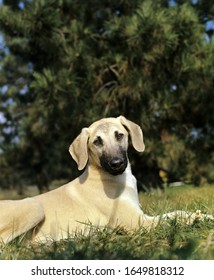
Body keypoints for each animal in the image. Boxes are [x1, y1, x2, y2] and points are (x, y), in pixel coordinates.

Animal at [0, 116, 214, 243]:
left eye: (119, 135)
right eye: (97, 141)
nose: (117, 164)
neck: (107, 177)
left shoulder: (142, 215)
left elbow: (176, 213)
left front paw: (203, 215)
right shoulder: (140, 222)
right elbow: (176, 217)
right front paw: (198, 218)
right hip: (34, 206)